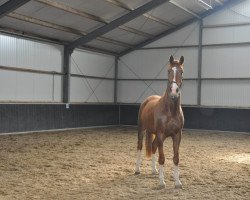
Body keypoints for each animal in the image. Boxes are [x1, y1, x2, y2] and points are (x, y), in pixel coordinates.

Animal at [135, 55, 184, 188]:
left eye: (181, 72)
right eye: (168, 71)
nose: (174, 91)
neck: (170, 111)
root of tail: (147, 100)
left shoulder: (177, 135)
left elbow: (176, 158)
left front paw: (177, 182)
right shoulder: (161, 134)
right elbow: (162, 158)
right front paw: (162, 182)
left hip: (155, 134)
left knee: (153, 146)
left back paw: (154, 170)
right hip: (142, 130)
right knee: (140, 147)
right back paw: (137, 170)